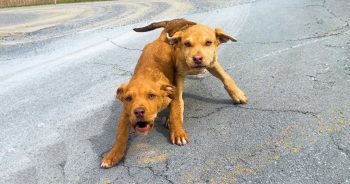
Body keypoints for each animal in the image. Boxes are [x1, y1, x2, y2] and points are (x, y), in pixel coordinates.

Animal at [100, 18, 197, 168]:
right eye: (128, 98)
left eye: (151, 96)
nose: (139, 112)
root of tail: (160, 39)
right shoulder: (126, 113)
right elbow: (120, 135)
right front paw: (113, 154)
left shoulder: (173, 96)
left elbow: (175, 113)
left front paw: (178, 133)